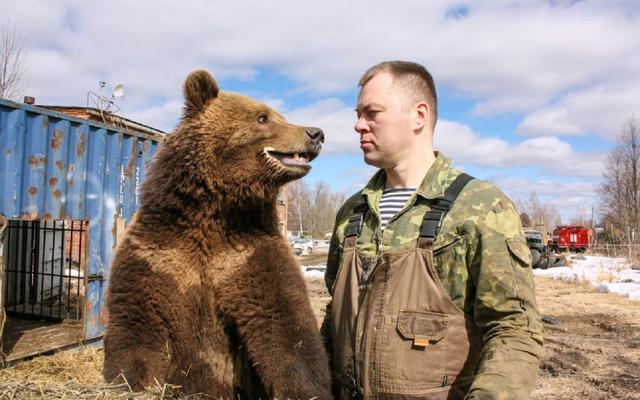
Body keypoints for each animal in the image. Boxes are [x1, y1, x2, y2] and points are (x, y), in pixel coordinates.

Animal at [102, 70, 332, 398]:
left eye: (280, 115)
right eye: (263, 117)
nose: (316, 133)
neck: (214, 212)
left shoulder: (247, 253)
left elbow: (286, 328)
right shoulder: (157, 254)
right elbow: (137, 329)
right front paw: (132, 381)